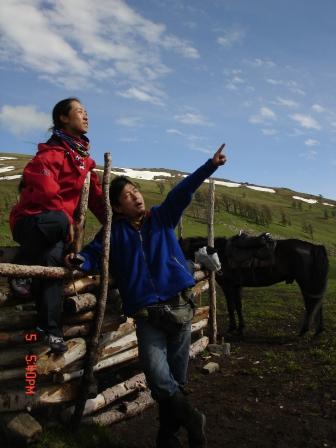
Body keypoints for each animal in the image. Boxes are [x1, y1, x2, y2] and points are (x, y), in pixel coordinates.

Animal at [180, 234, 330, 336]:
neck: (219, 253)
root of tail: (313, 247)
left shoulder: (228, 286)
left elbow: (231, 307)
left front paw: (232, 328)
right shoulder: (237, 286)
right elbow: (238, 306)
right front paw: (241, 328)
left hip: (306, 282)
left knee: (312, 303)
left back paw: (305, 330)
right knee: (317, 302)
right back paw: (318, 330)